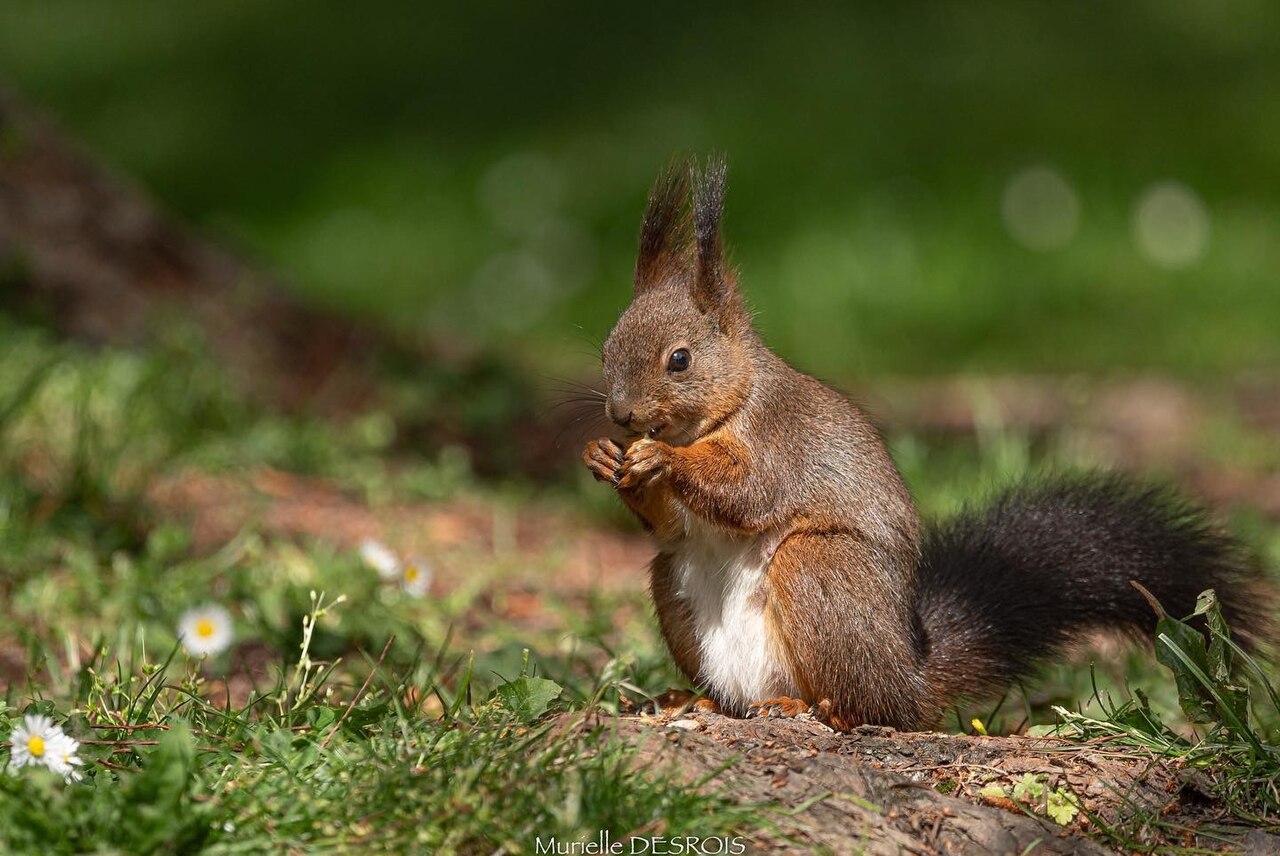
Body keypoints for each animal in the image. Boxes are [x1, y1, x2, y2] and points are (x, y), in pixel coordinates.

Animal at [582, 157, 1275, 731]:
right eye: (607, 346)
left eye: (679, 360)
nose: (621, 415)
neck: (729, 404)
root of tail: (909, 680)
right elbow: (669, 525)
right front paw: (605, 458)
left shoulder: (780, 440)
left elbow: (747, 491)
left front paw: (663, 460)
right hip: (672, 582)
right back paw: (694, 700)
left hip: (821, 570)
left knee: (863, 704)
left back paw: (814, 708)